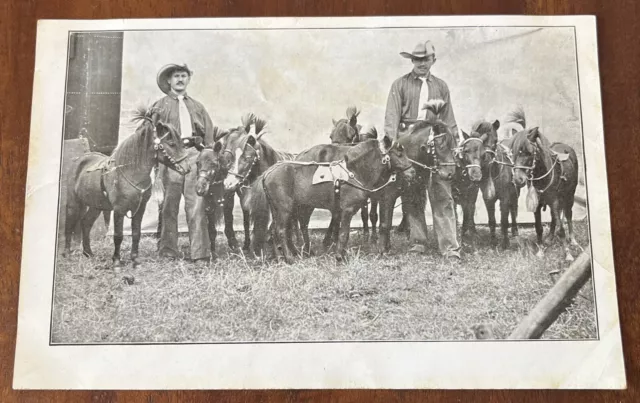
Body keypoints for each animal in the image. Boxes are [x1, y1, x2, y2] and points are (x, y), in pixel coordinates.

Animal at [63, 106, 189, 268]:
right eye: (171, 143)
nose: (187, 168)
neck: (131, 173)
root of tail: (79, 160)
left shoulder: (139, 209)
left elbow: (136, 233)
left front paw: (135, 259)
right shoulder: (119, 210)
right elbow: (118, 235)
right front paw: (116, 261)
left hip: (96, 206)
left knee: (86, 223)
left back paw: (88, 253)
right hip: (74, 203)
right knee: (69, 224)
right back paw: (67, 253)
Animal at [510, 126, 580, 262]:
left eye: (528, 152)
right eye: (513, 153)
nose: (517, 179)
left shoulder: (555, 201)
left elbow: (561, 229)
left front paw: (567, 254)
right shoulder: (538, 204)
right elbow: (539, 228)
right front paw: (541, 250)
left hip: (570, 195)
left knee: (568, 214)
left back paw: (573, 240)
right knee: (554, 218)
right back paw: (550, 238)